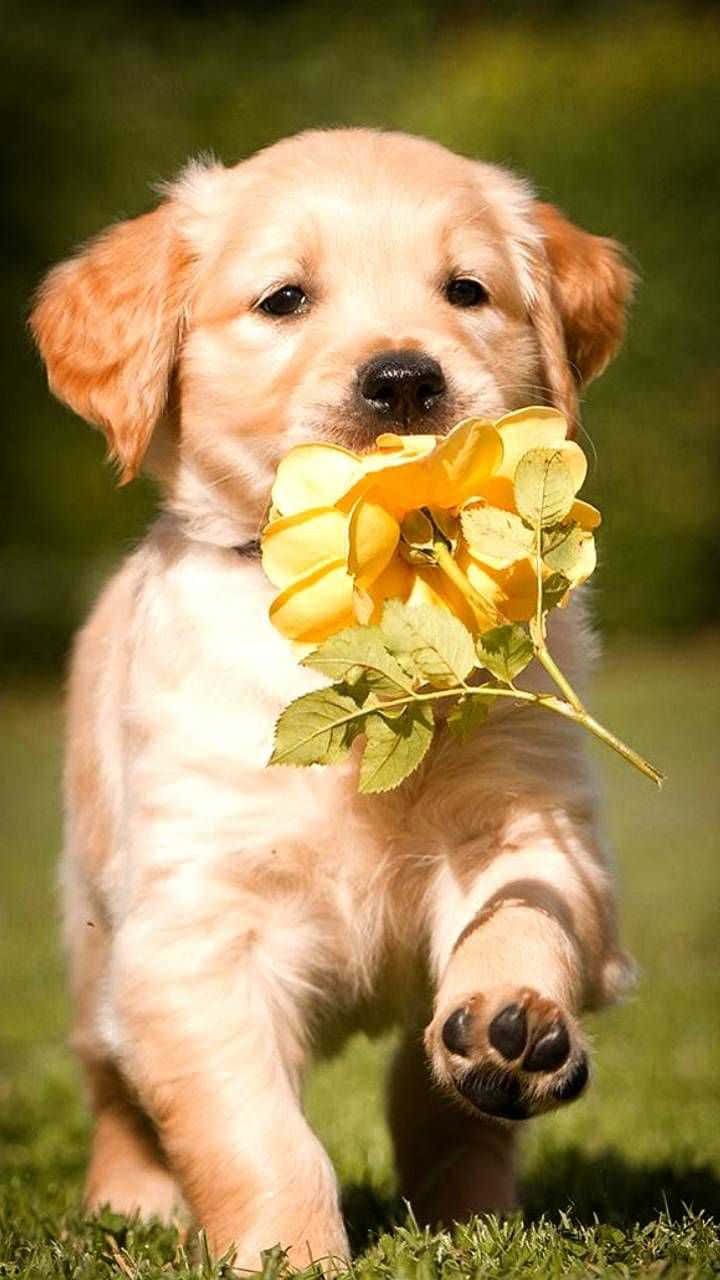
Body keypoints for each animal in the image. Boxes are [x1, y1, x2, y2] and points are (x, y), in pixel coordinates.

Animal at [30, 129, 630, 1269]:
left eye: (467, 290)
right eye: (284, 299)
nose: (403, 379)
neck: (374, 602)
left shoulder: (530, 817)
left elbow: (524, 913)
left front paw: (513, 1016)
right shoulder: (193, 930)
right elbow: (255, 1133)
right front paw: (292, 1255)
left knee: (433, 1104)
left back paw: (481, 1184)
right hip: (92, 938)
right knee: (113, 1087)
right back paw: (130, 1201)